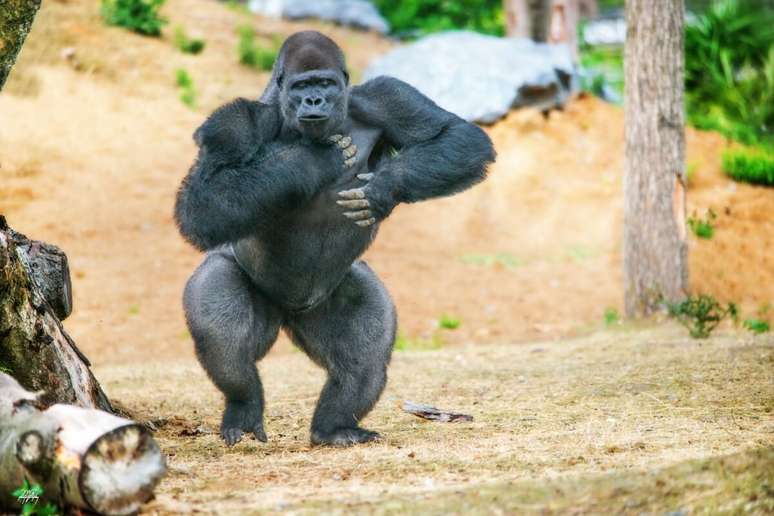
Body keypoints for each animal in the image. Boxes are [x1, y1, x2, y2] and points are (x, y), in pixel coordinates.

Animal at [174, 30, 498, 446]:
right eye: (301, 86)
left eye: (325, 84)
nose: (314, 100)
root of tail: (288, 312)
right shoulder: (236, 121)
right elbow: (205, 199)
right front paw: (310, 160)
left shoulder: (385, 96)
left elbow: (457, 136)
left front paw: (384, 188)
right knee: (227, 347)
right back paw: (243, 407)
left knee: (363, 361)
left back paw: (334, 427)